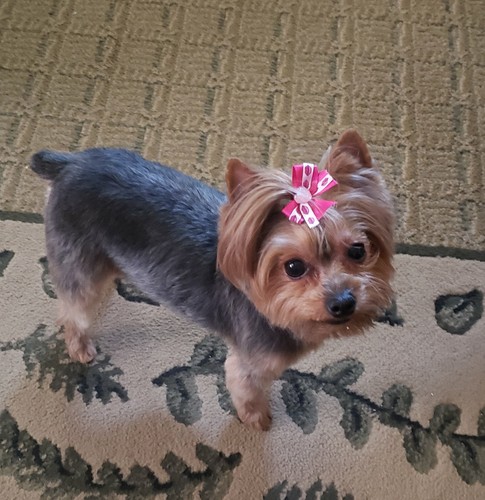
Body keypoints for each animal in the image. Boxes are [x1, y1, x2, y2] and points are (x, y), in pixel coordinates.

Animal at [30, 129, 394, 430]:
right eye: (293, 267)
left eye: (358, 250)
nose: (343, 302)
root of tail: (70, 163)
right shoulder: (249, 362)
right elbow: (245, 389)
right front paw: (256, 418)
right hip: (76, 255)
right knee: (73, 306)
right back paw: (80, 345)